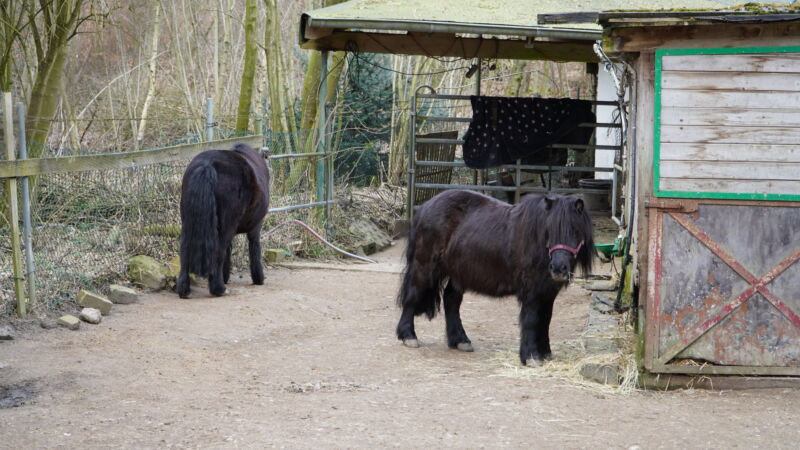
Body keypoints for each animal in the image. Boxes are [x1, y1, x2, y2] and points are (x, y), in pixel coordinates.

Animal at [176, 143, 270, 298]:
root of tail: (207, 164)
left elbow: (228, 251)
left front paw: (225, 276)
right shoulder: (256, 227)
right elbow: (254, 248)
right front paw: (259, 278)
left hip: (189, 223)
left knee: (184, 249)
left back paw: (185, 290)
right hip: (227, 225)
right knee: (219, 250)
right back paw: (218, 289)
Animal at [395, 190, 593, 366]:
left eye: (576, 230)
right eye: (549, 230)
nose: (558, 268)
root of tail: (426, 206)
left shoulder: (548, 292)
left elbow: (545, 320)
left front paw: (545, 354)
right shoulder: (531, 291)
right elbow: (531, 320)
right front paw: (530, 356)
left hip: (459, 272)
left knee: (451, 300)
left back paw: (460, 340)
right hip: (424, 266)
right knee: (412, 295)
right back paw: (408, 336)